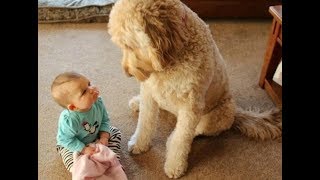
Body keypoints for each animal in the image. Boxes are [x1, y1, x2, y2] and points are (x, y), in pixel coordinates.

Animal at [107, 0, 280, 178]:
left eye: (128, 45)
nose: (127, 72)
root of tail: (236, 112)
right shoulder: (149, 91)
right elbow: (145, 121)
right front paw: (139, 143)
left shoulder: (191, 106)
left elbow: (182, 138)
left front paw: (175, 165)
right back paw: (137, 102)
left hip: (218, 115)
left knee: (193, 131)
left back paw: (172, 139)